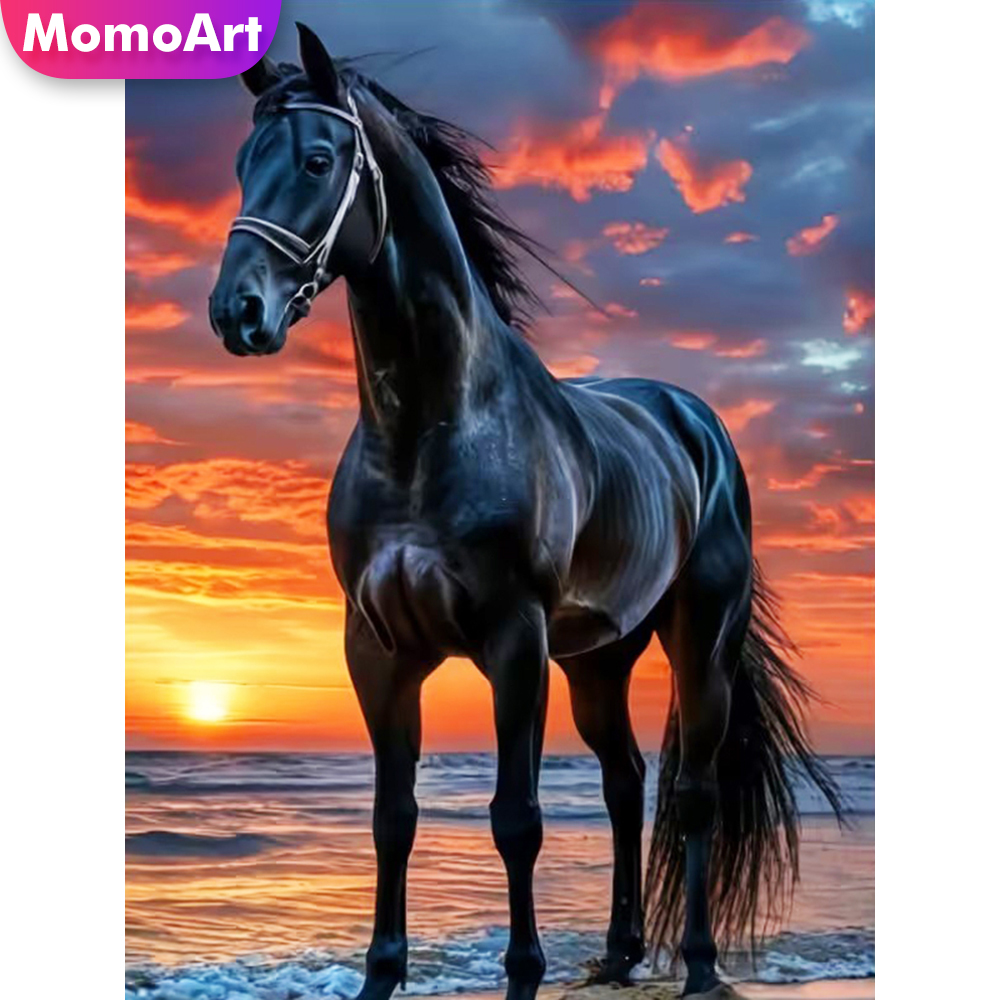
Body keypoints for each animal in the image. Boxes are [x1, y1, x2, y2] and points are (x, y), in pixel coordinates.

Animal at [208, 25, 843, 1000]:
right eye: (243, 164)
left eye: (317, 160)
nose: (236, 311)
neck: (429, 430)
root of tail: (693, 422)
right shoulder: (377, 650)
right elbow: (393, 817)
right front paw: (380, 977)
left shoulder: (515, 641)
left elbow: (517, 819)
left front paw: (523, 974)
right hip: (598, 662)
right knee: (624, 780)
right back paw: (619, 954)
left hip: (701, 640)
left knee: (692, 793)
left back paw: (697, 966)